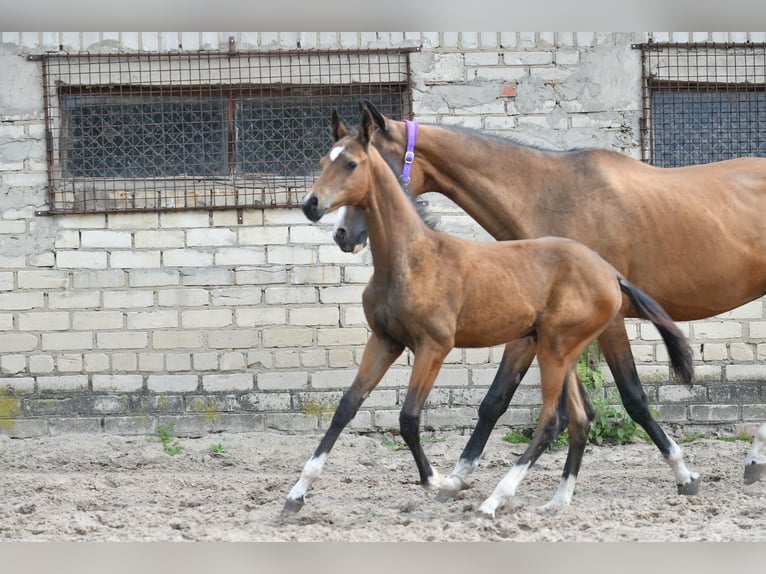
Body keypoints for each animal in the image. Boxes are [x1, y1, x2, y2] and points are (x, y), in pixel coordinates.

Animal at [334, 100, 766, 496]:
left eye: (362, 164)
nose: (343, 235)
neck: (553, 197)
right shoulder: (535, 326)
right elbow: (495, 399)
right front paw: (457, 476)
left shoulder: (606, 322)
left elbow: (634, 397)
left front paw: (683, 472)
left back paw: (753, 459)